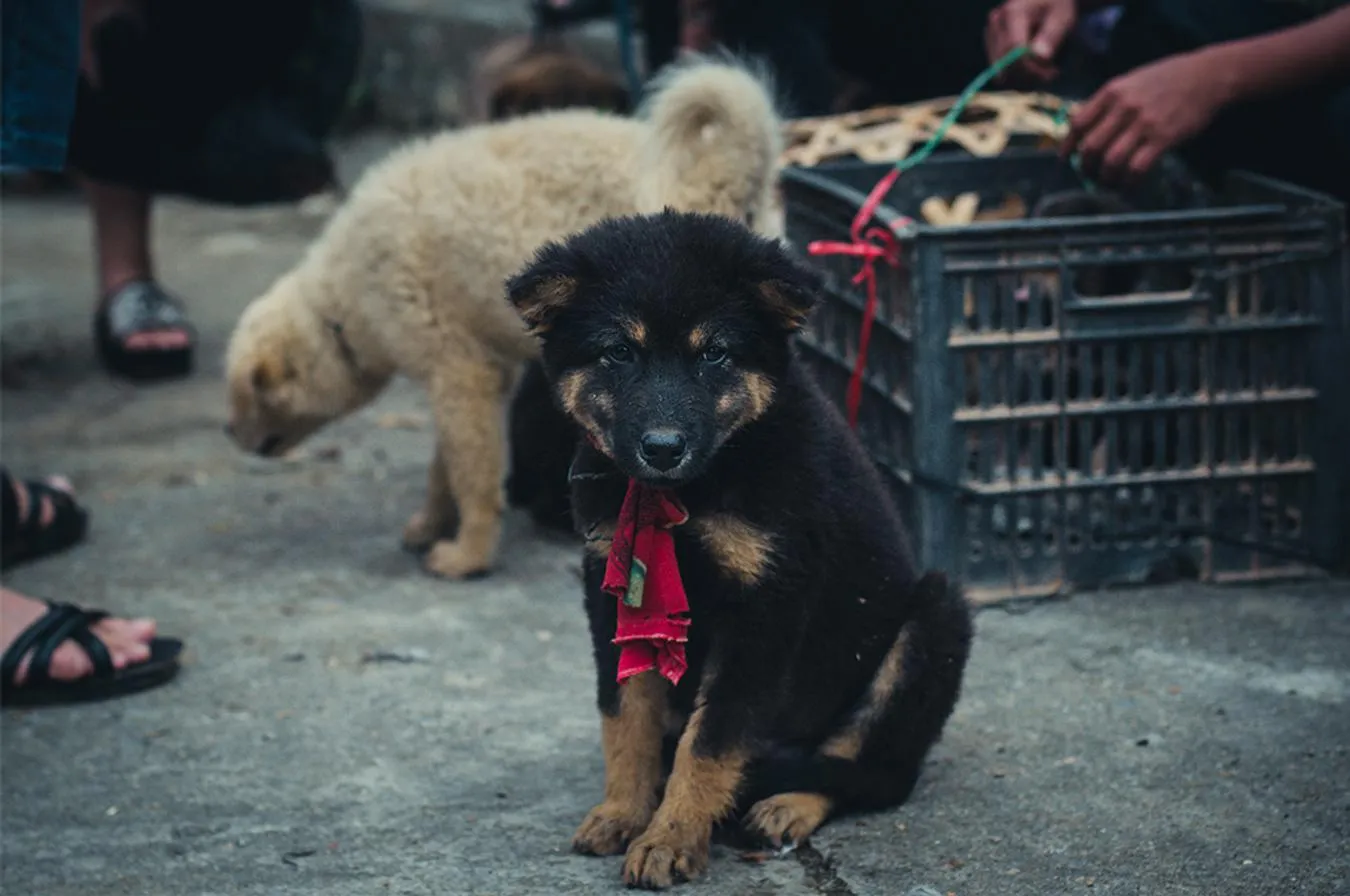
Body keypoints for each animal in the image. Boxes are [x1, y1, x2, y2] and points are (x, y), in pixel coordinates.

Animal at [226, 61, 788, 580]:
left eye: (248, 396)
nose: (230, 435)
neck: (340, 304)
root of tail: (719, 173)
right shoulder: (482, 373)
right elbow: (446, 467)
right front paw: (431, 526)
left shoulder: (459, 373)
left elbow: (471, 472)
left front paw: (466, 556)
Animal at [507, 210, 972, 890]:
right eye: (619, 352)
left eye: (714, 354)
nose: (663, 448)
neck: (694, 491)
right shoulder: (615, 595)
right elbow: (626, 716)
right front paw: (624, 811)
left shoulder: (764, 608)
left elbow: (709, 742)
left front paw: (670, 838)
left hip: (935, 618)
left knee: (873, 773)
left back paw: (788, 804)